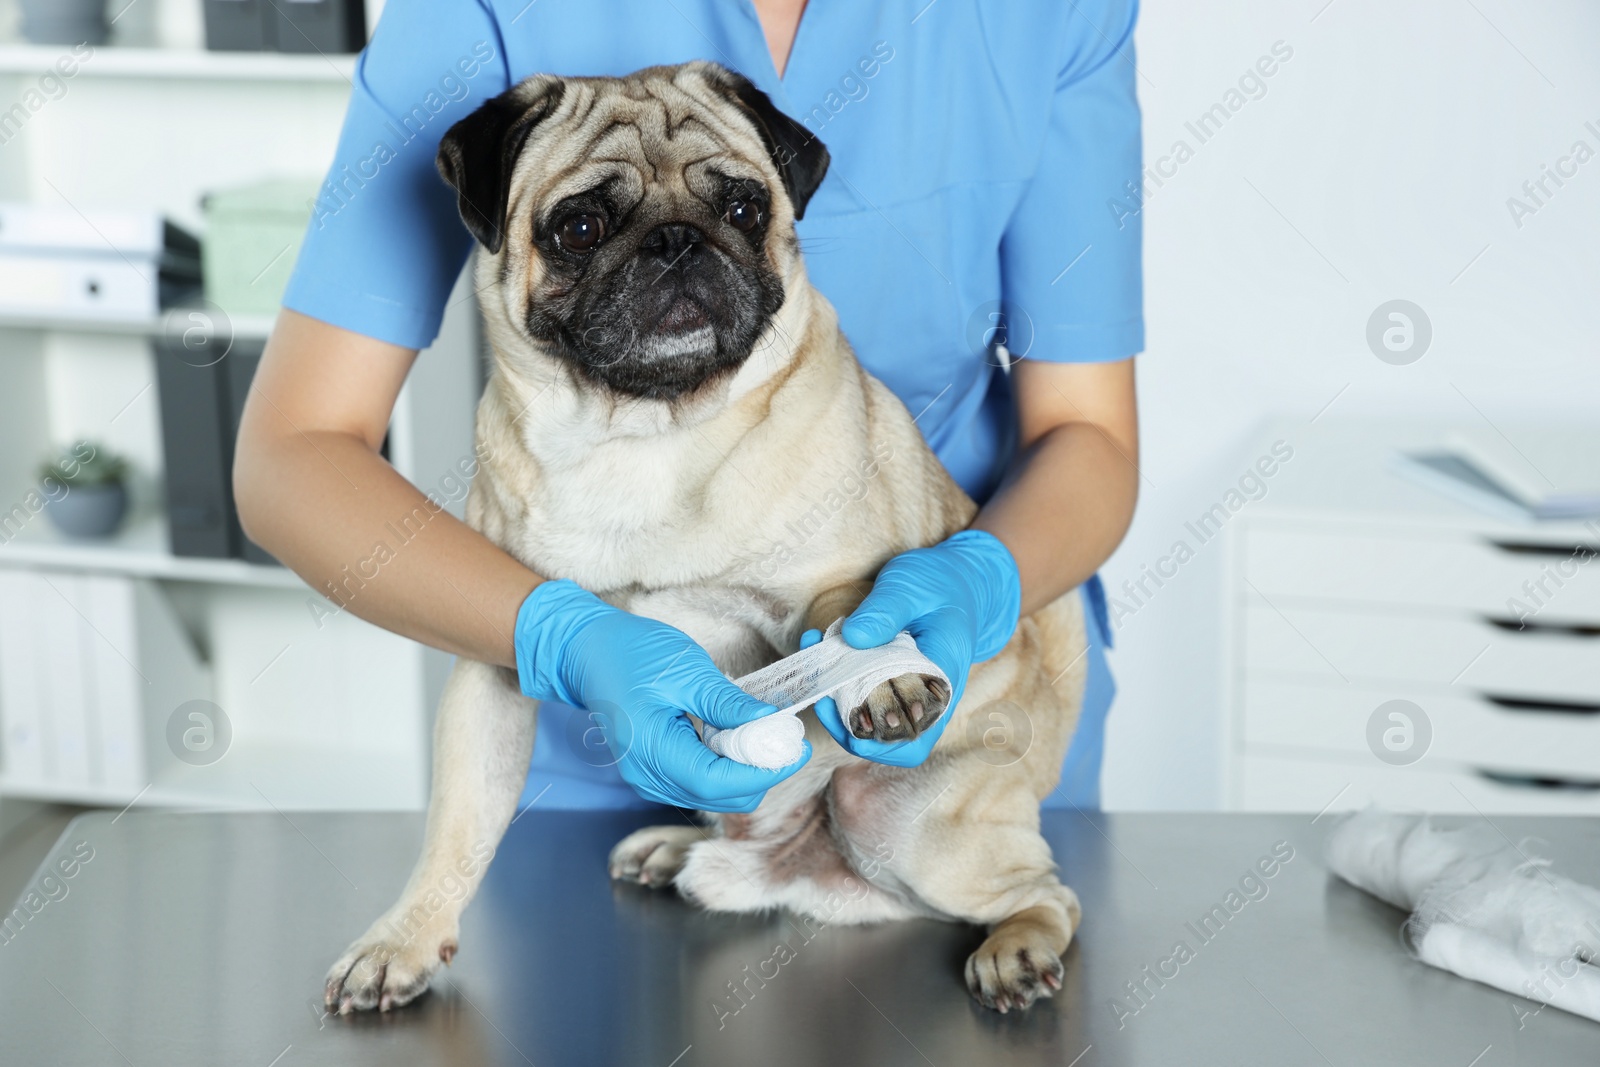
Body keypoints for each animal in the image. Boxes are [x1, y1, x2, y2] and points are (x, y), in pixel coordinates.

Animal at [331, 58, 1094, 1017]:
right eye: (579, 227)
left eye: (742, 209)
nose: (676, 242)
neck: (643, 430)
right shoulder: (497, 670)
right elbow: (456, 824)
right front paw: (401, 939)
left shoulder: (837, 574)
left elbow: (851, 614)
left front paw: (878, 677)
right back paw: (675, 848)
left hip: (910, 820)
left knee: (1049, 891)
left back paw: (1018, 947)